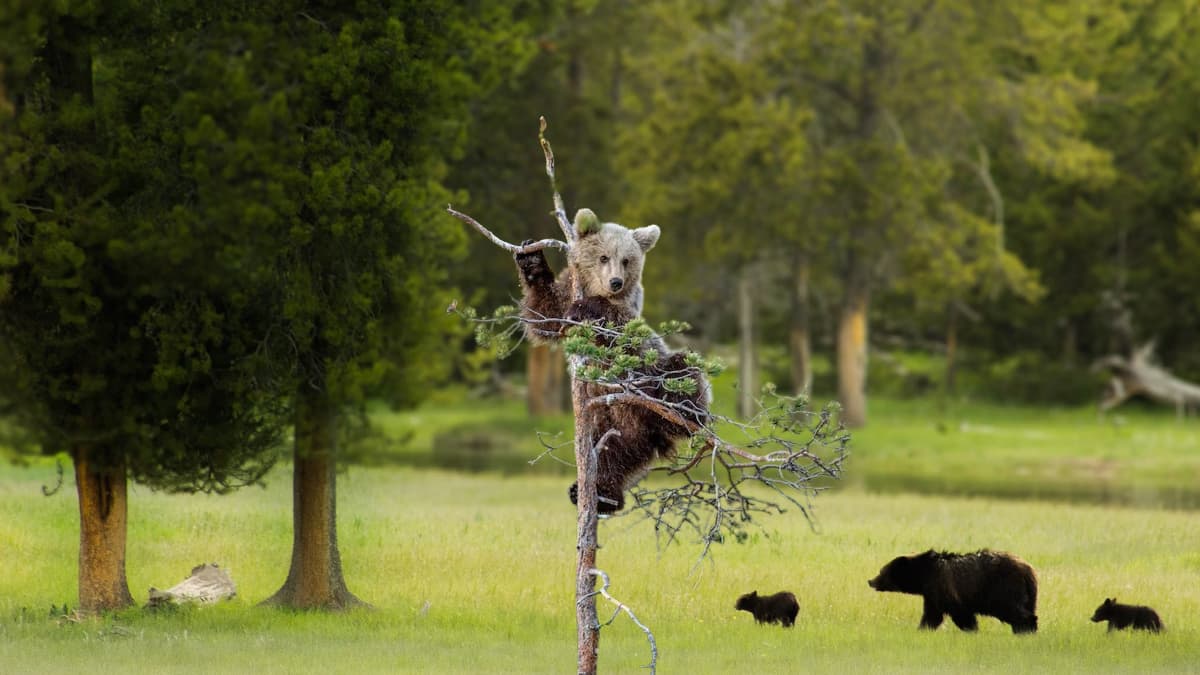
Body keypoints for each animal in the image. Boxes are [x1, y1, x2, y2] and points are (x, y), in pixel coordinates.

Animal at [868, 547, 1036, 629]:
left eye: (881, 571)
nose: (870, 581)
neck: (923, 575)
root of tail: (1028, 569)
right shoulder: (931, 595)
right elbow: (932, 616)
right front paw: (923, 629)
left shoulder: (944, 588)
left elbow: (960, 614)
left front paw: (971, 629)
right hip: (1027, 594)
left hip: (1004, 589)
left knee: (1016, 612)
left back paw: (1026, 630)